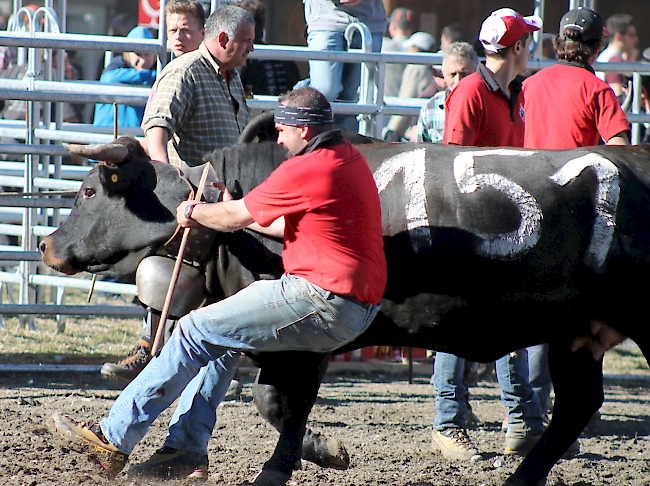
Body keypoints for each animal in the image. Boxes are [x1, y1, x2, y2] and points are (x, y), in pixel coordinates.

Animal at [39, 135, 648, 486]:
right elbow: (271, 401)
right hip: (578, 334)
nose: (46, 244)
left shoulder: (308, 338)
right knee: (577, 405)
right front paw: (316, 452)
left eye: (89, 191)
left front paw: (292, 462)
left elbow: (280, 403)